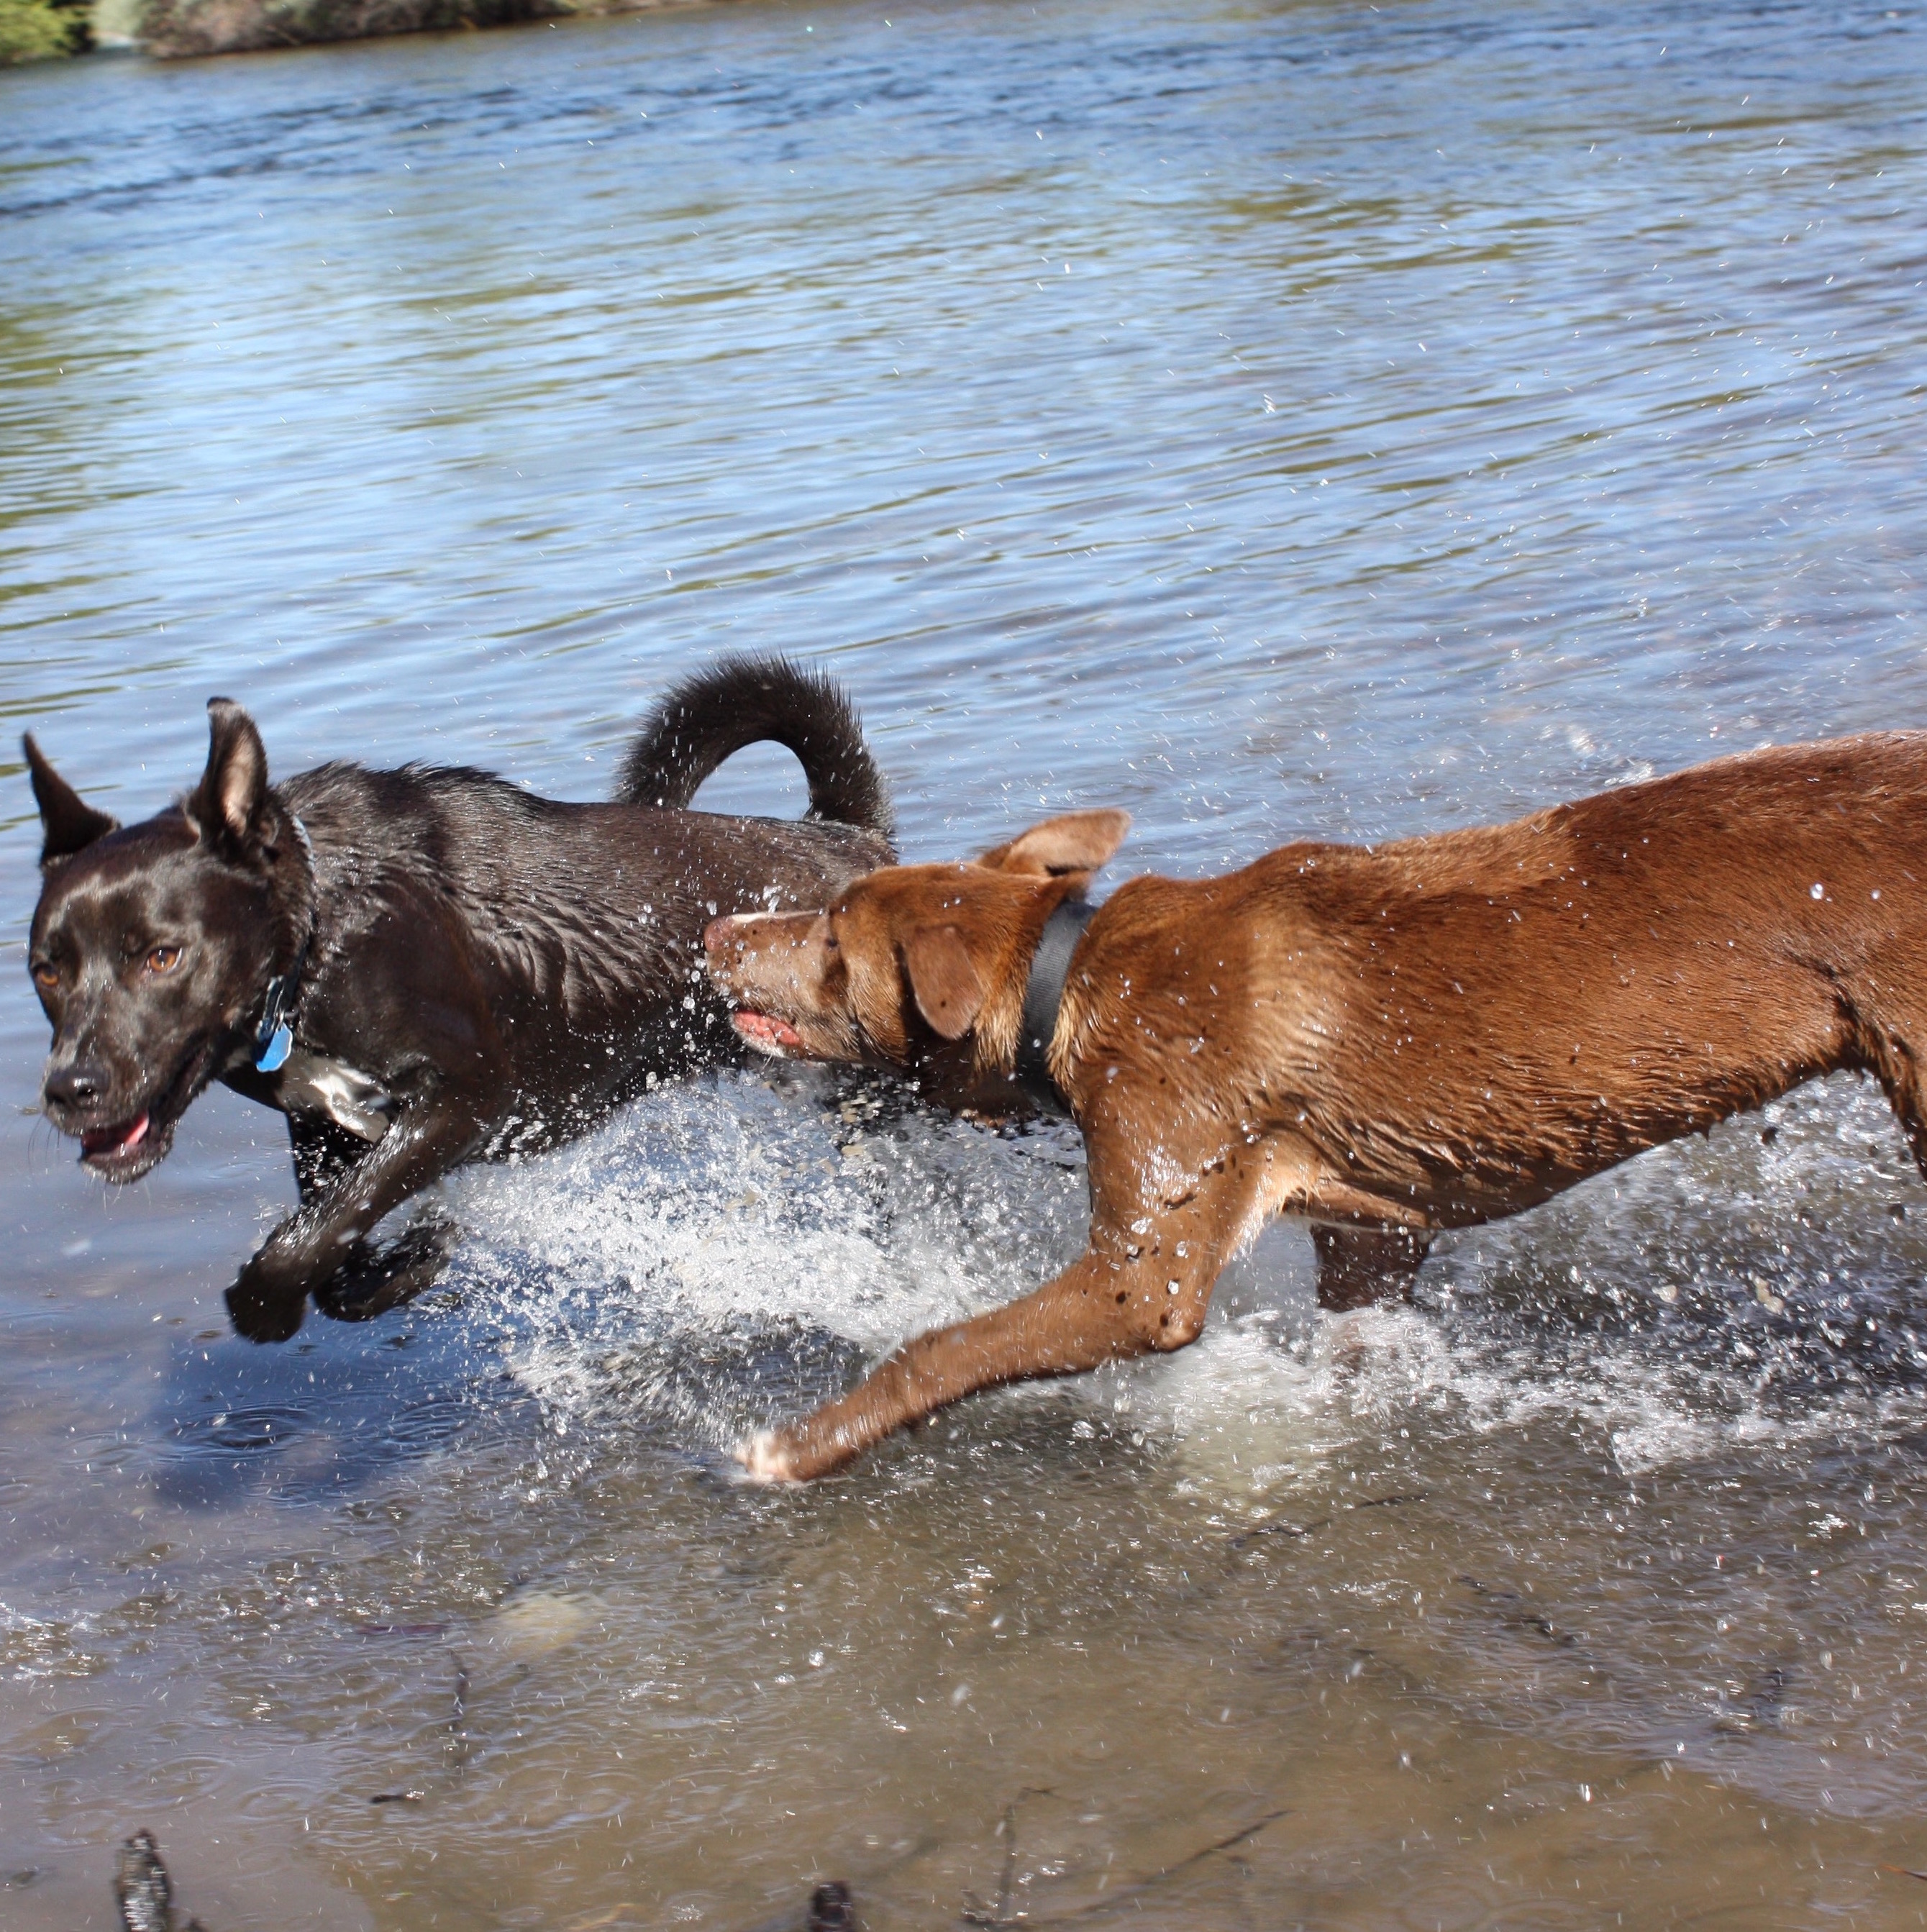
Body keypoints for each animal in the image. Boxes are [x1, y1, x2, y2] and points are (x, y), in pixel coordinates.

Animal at [27, 655, 893, 1342]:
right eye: (46, 971)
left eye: (162, 955)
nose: (70, 1090)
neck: (314, 936)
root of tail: (844, 838)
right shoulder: (321, 1130)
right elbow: (333, 1252)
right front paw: (412, 1261)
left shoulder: (468, 1098)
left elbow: (303, 1243)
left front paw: (276, 1304)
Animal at [705, 732, 1927, 1479]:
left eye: (828, 939)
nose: (720, 931)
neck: (1070, 978)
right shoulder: (1365, 1231)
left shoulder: (1144, 1274)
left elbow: (940, 1347)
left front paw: (788, 1447)